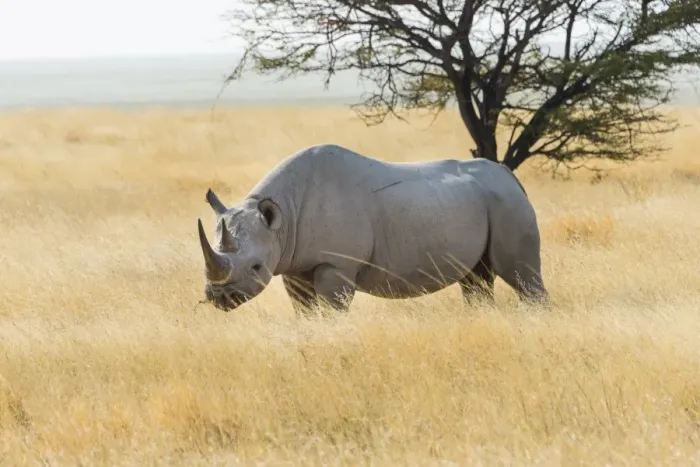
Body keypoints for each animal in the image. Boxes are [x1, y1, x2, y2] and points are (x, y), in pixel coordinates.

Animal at [197, 143, 549, 314]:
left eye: (256, 267)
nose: (220, 297)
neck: (283, 217)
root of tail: (509, 175)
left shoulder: (336, 263)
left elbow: (332, 309)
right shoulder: (294, 263)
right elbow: (303, 309)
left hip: (506, 203)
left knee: (520, 274)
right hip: (484, 201)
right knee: (476, 277)